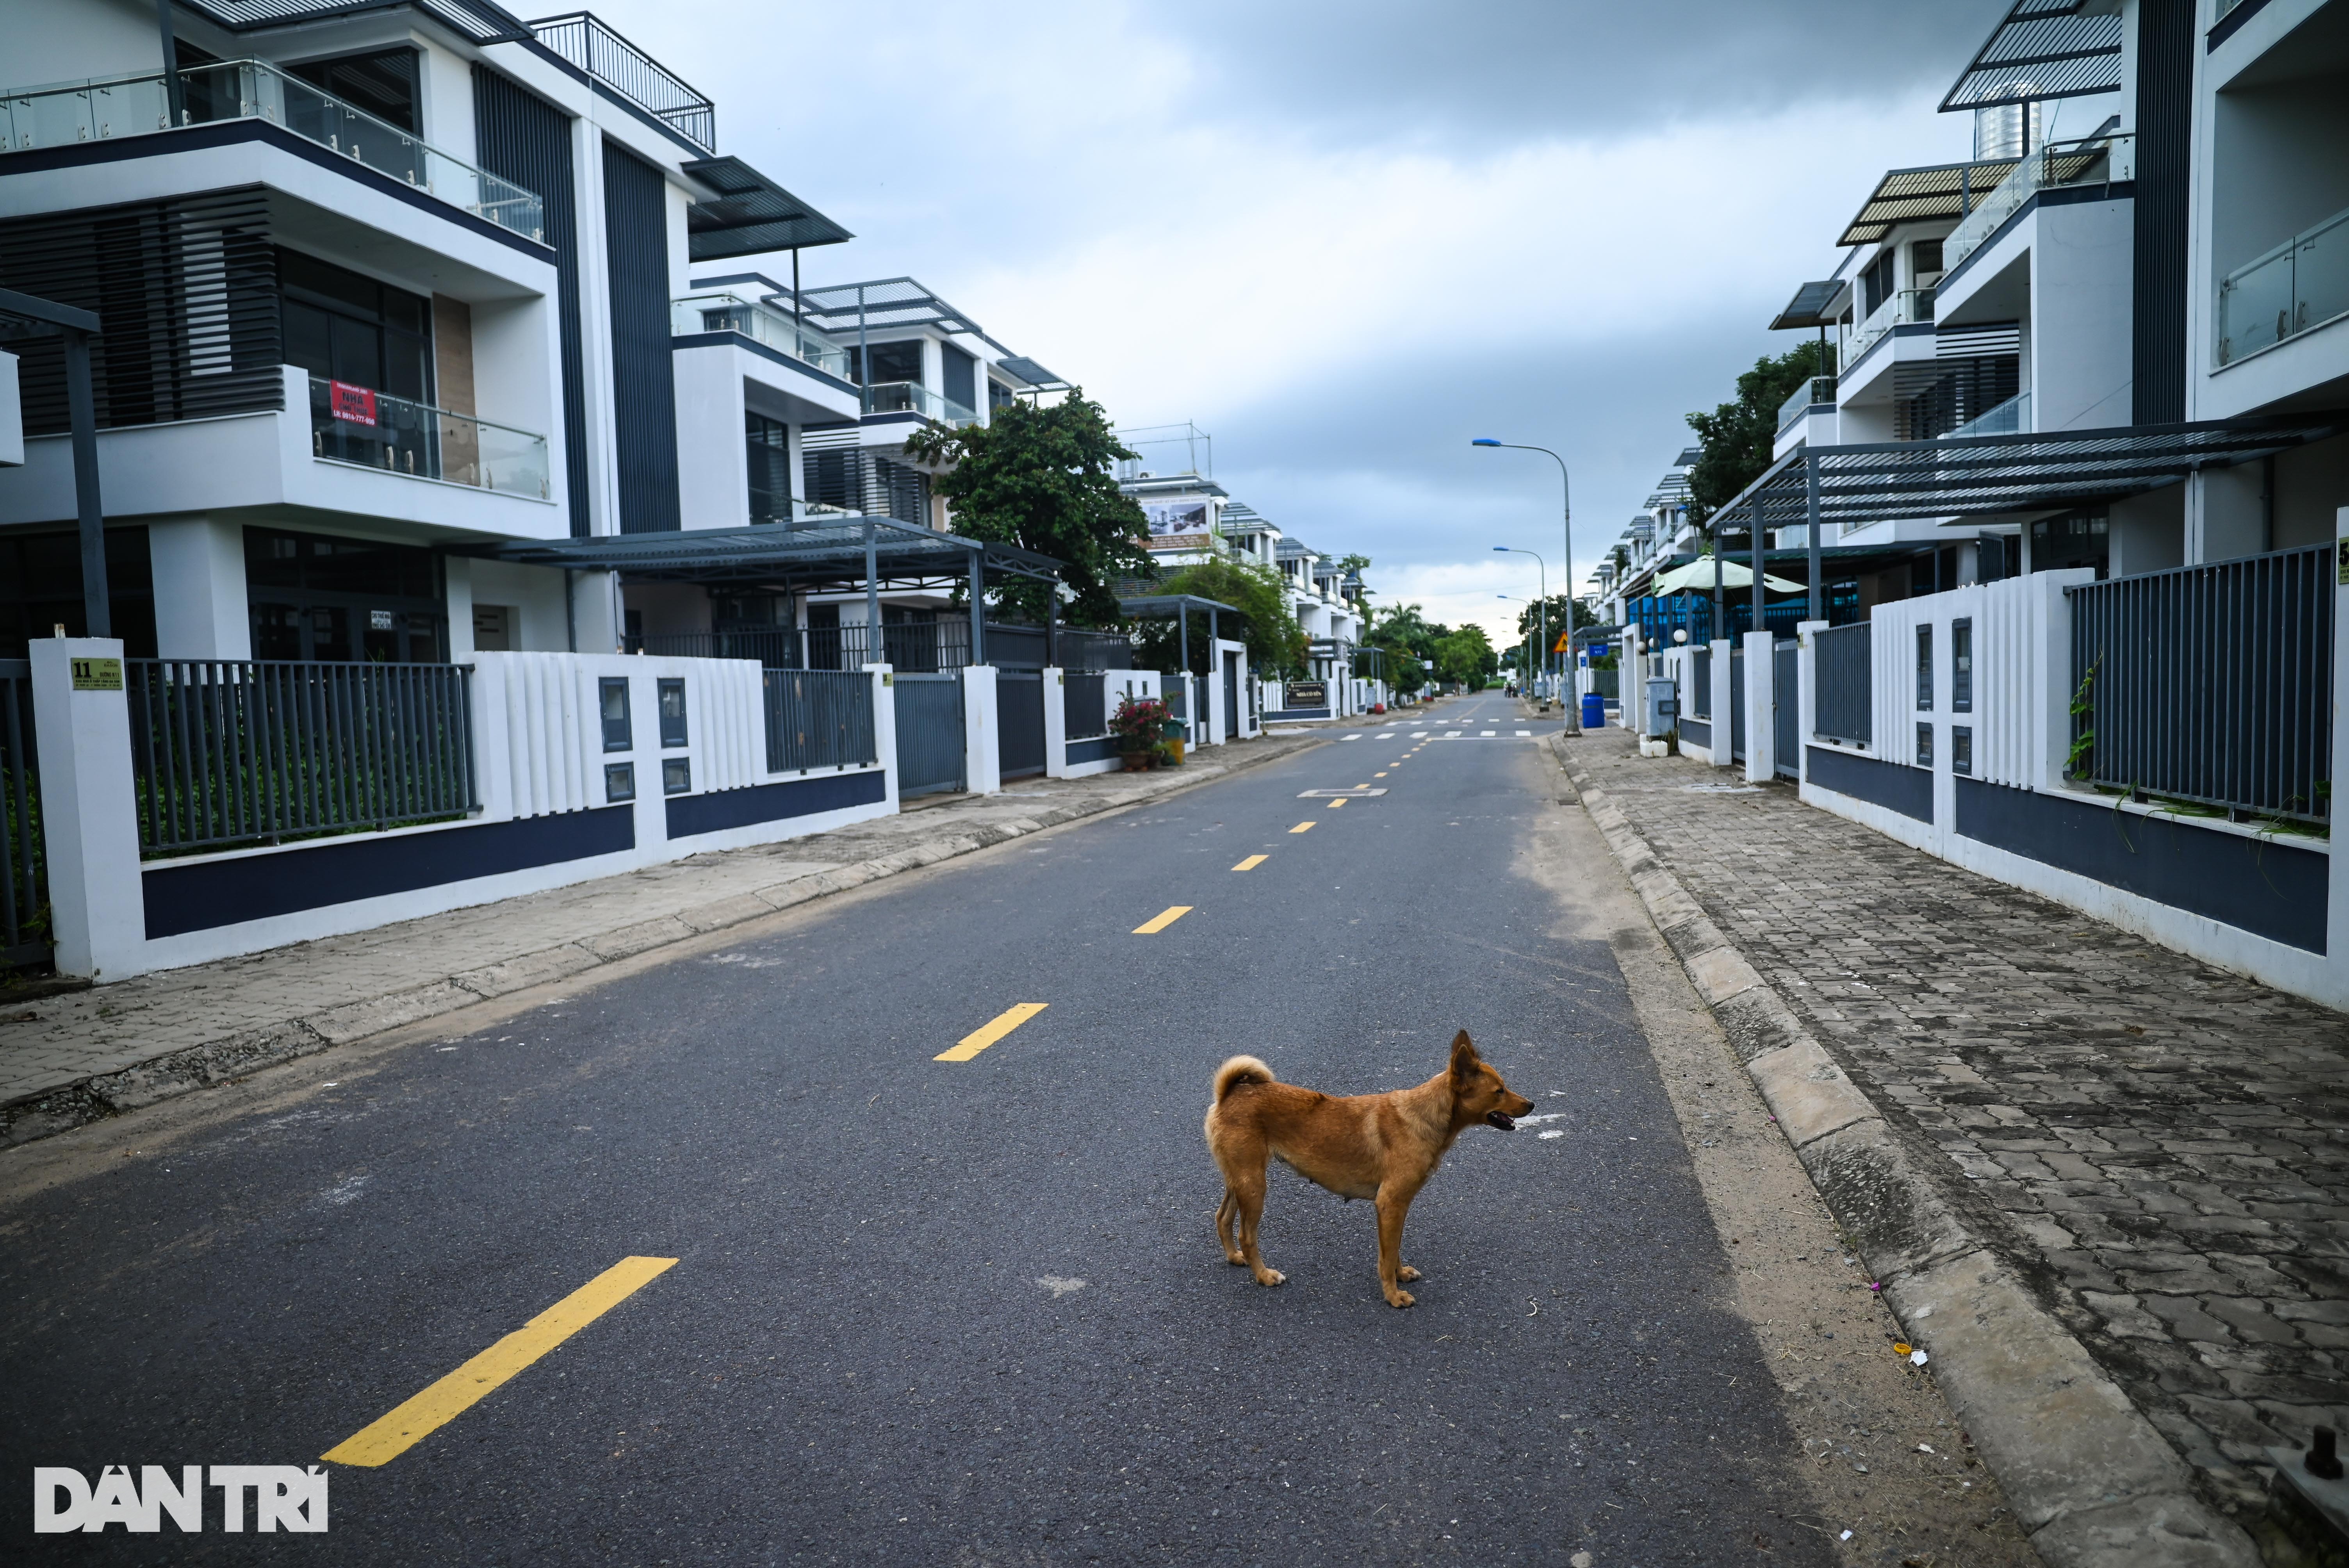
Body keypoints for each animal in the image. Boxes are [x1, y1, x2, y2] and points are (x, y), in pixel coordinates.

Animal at [1203, 1033, 1531, 1305]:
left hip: (1240, 1180)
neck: (1424, 1117)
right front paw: (1393, 1296)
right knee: (1247, 1235)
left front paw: (1400, 1275)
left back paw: (1235, 1257)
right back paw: (1264, 1275)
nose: (1532, 1105)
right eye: (1500, 1091)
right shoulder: (1390, 1204)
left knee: (1222, 1218)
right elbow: (1386, 1258)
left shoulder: (1397, 1208)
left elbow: (1394, 1249)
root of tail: (1230, 1094)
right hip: (1254, 1185)